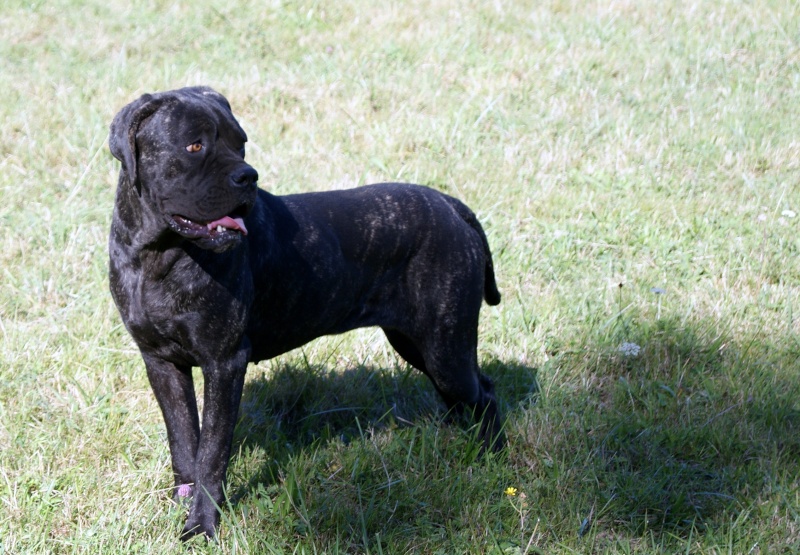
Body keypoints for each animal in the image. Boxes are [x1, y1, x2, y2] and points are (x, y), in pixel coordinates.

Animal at [109, 86, 504, 540]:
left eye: (240, 144)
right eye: (194, 146)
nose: (247, 176)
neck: (156, 255)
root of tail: (451, 205)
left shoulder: (224, 361)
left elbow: (211, 450)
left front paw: (202, 525)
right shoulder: (161, 361)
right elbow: (183, 441)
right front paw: (182, 504)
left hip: (445, 346)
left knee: (484, 394)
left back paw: (488, 461)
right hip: (418, 345)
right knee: (465, 397)